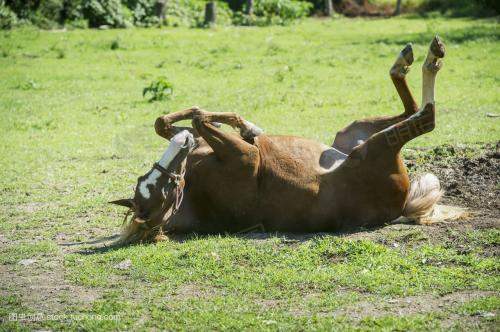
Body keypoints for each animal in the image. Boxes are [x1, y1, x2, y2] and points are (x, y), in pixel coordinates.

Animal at [113, 36, 454, 244]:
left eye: (148, 179)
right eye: (164, 189)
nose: (184, 144)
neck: (196, 190)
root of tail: (401, 206)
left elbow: (175, 120)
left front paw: (248, 128)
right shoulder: (247, 159)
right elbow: (199, 120)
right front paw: (246, 127)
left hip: (349, 134)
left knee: (410, 108)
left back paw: (408, 60)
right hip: (370, 149)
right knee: (426, 116)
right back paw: (430, 59)